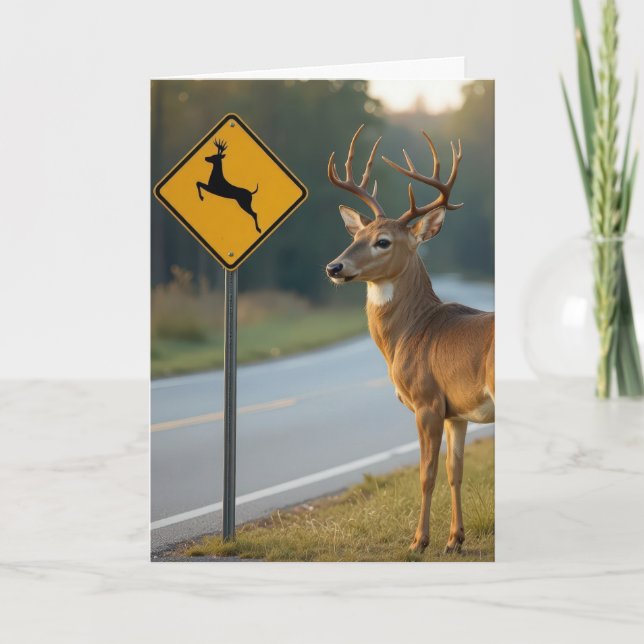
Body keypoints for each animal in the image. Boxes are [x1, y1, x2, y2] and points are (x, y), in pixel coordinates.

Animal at [325, 125, 494, 554]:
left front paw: (418, 541)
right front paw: (454, 541)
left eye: (383, 241)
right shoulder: (457, 411)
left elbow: (426, 473)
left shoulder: (427, 401)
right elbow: (455, 471)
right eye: (357, 234)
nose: (334, 266)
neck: (412, 332)